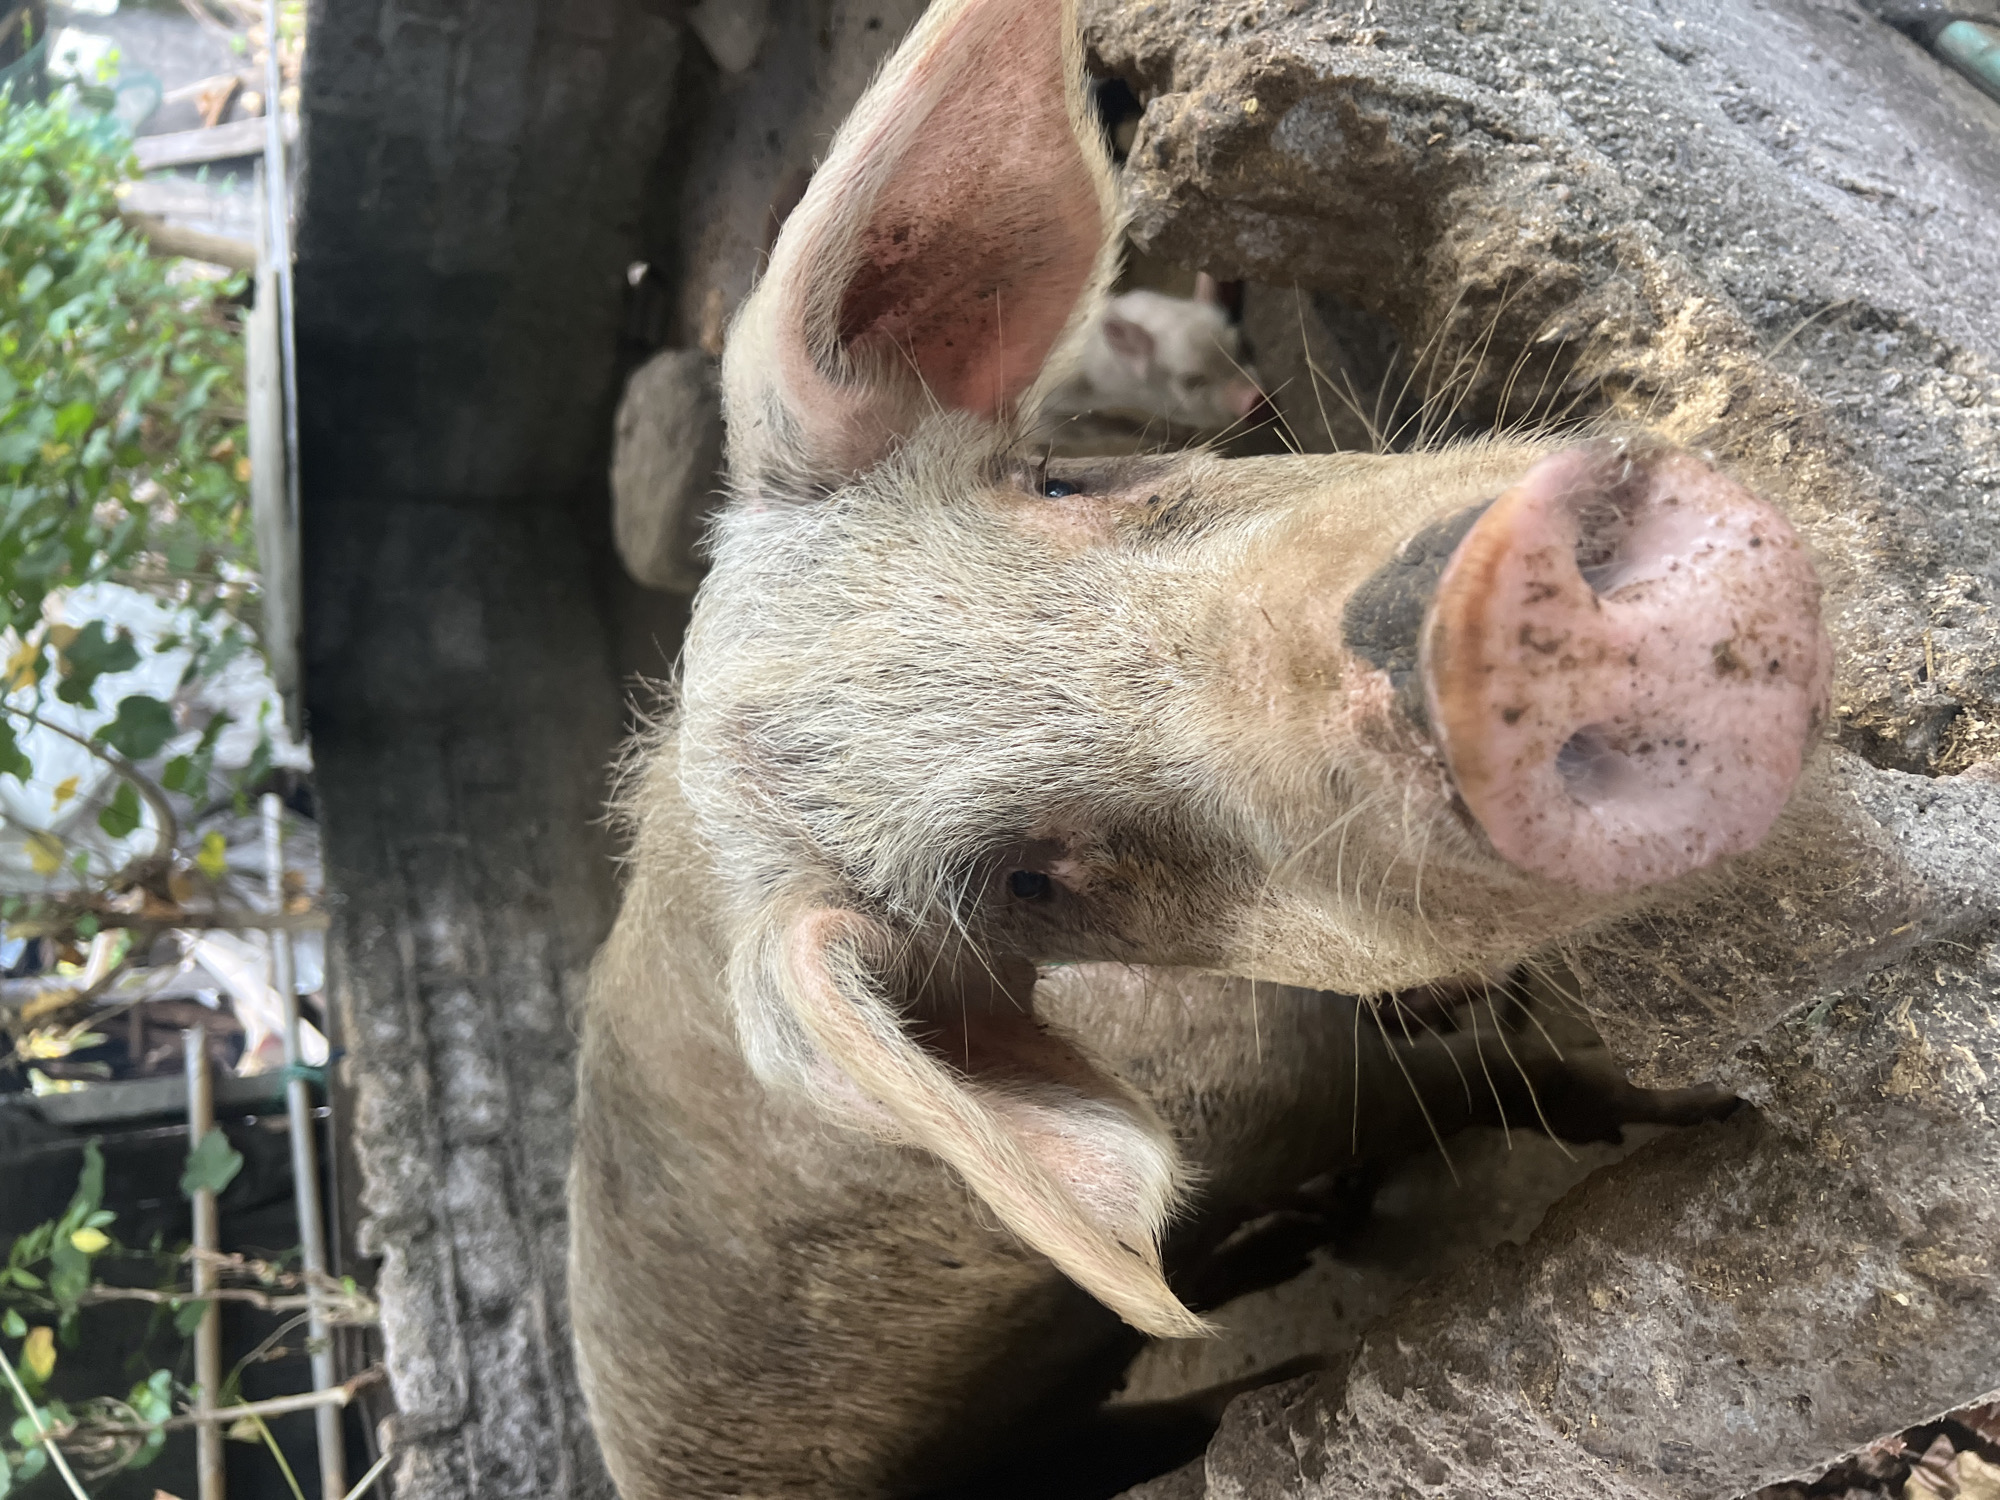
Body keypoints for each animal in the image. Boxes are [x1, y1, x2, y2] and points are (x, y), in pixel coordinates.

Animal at [567, 0, 1832, 1495]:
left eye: (1059, 479)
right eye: (1028, 885)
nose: (1483, 640)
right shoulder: (1268, 1092)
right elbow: (1480, 1086)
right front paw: (1676, 1112)